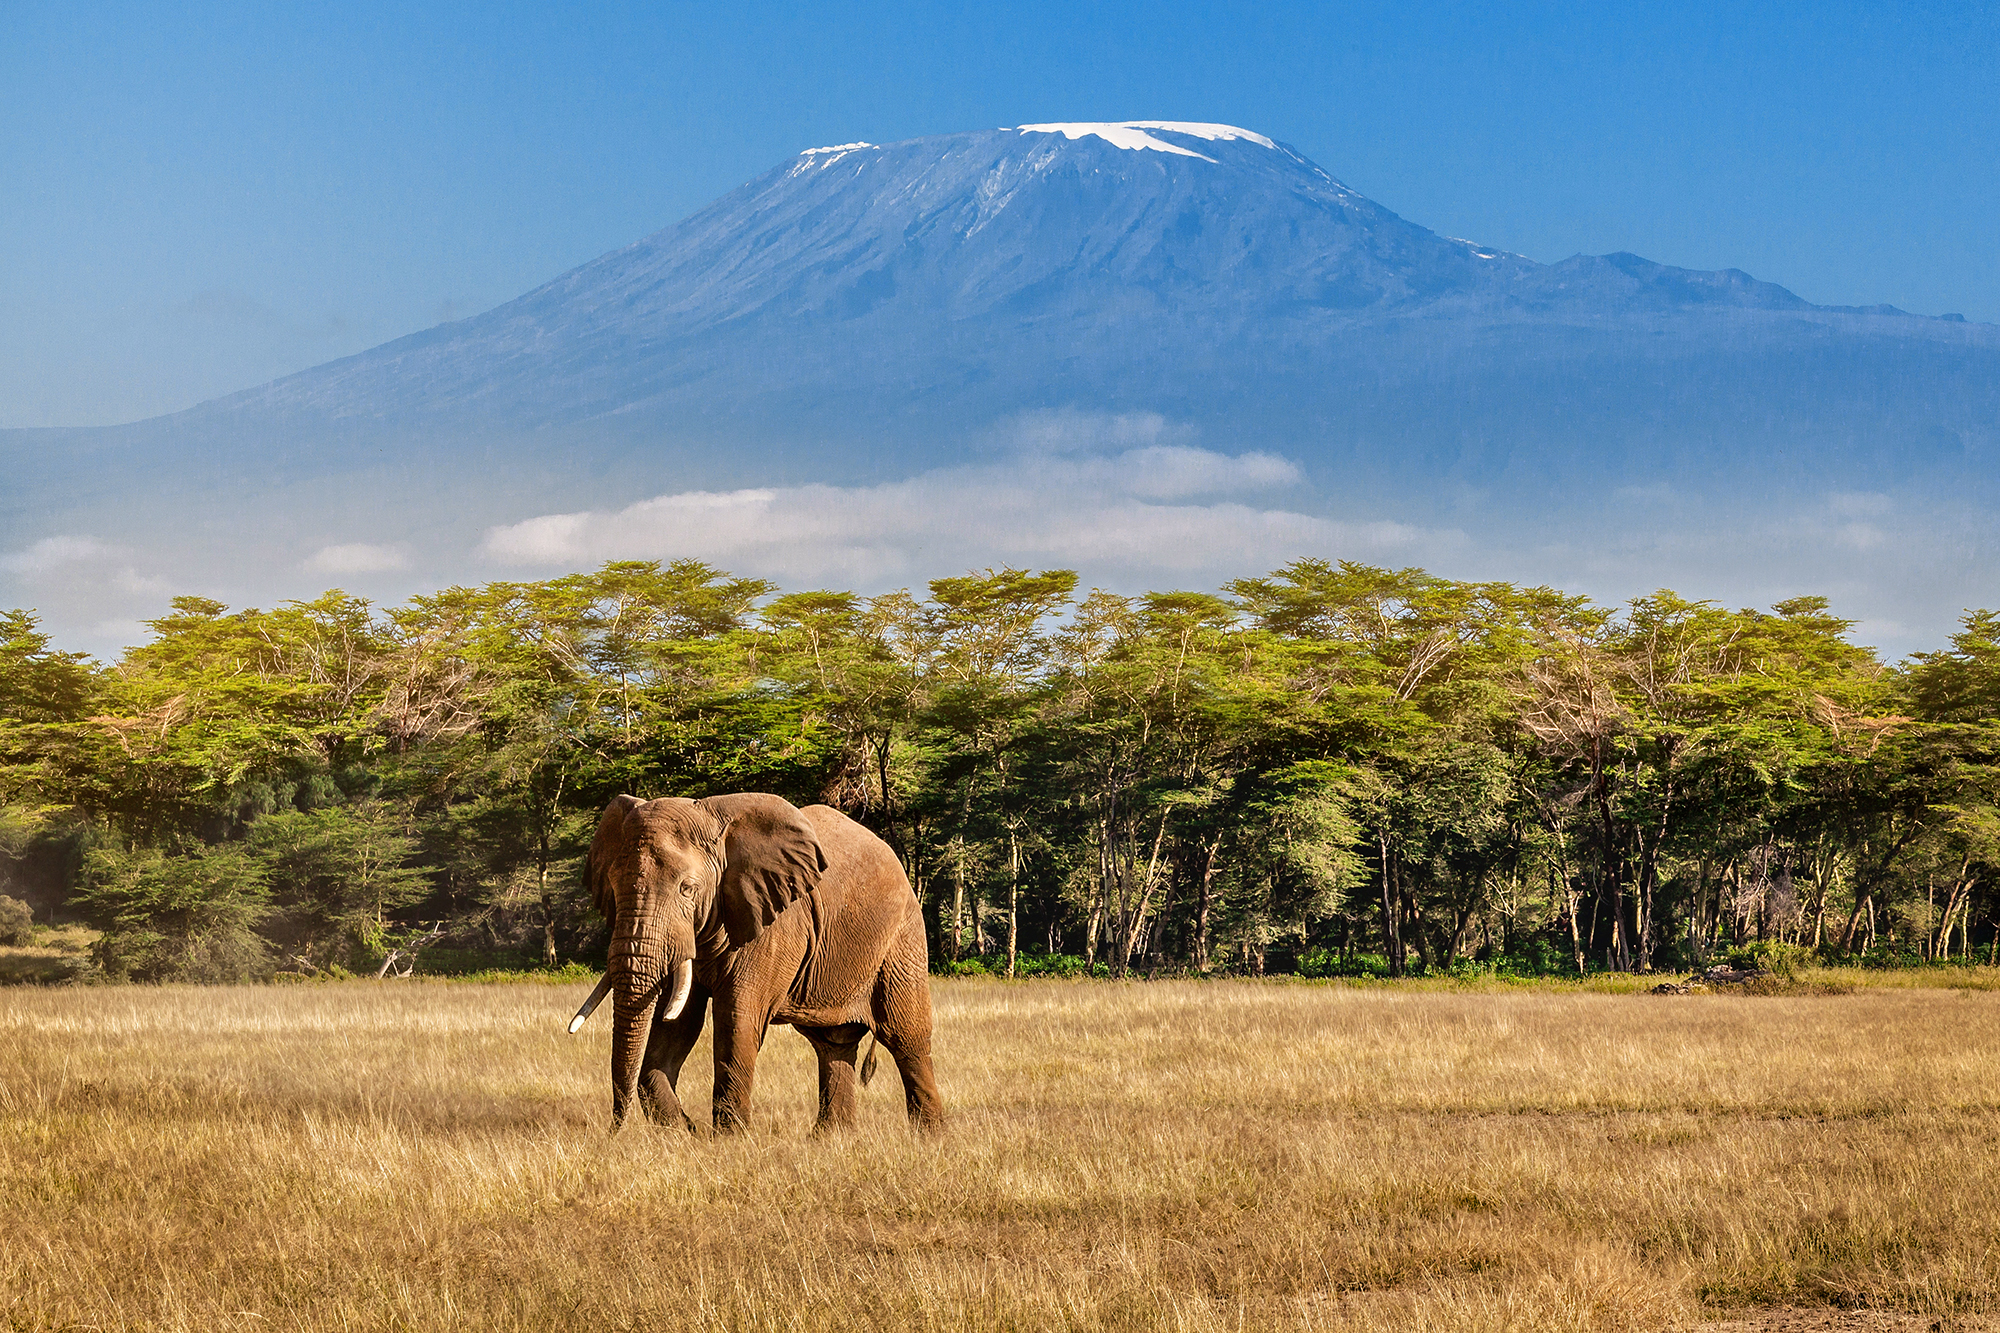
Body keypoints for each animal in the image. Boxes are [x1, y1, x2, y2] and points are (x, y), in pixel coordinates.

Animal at [564, 784, 936, 1136]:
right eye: (613, 887)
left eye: (687, 888)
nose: (614, 1129)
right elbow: (677, 1025)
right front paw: (686, 1133)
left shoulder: (774, 922)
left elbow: (736, 1019)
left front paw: (729, 1140)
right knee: (833, 1043)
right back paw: (831, 1139)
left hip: (902, 938)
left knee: (906, 1038)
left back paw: (930, 1137)